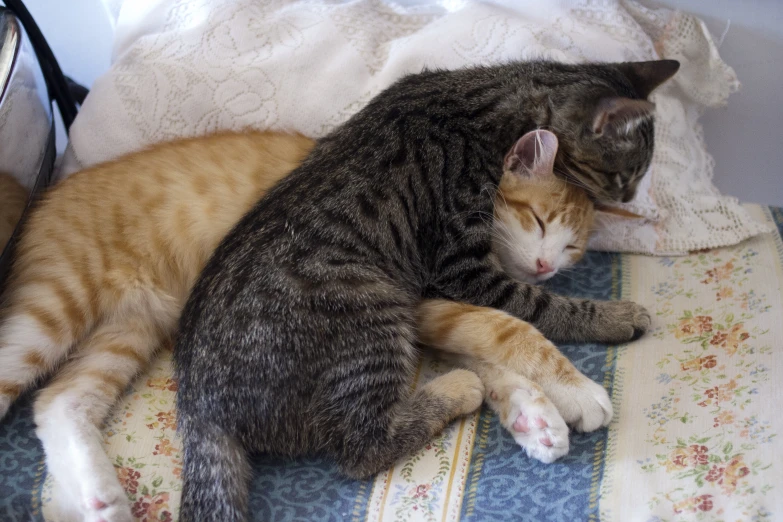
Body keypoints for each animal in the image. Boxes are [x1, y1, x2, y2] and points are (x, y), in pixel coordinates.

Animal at [0, 127, 608, 520]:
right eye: (538, 221)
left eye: (572, 246)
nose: (546, 266)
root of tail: (45, 193)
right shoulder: (418, 299)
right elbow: (509, 331)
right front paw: (576, 390)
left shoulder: (427, 312)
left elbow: (486, 350)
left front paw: (535, 416)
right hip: (54, 307)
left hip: (131, 328)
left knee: (59, 401)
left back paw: (100, 497)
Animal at [175, 58, 676, 520]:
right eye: (625, 174)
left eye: (572, 246)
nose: (628, 199)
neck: (490, 103)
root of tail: (195, 402)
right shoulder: (458, 268)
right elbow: (530, 317)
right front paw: (607, 330)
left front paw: (537, 409)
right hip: (371, 302)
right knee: (361, 449)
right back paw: (456, 389)